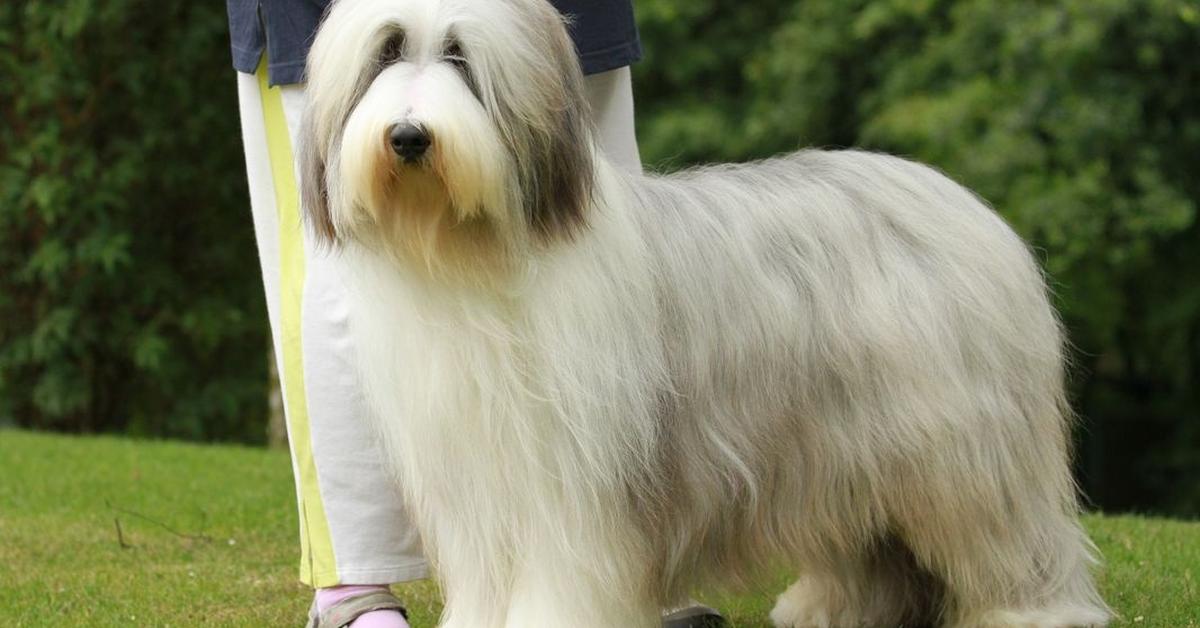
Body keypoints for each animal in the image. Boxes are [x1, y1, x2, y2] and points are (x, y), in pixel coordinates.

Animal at [300, 1, 1113, 624]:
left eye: (462, 58)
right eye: (385, 52)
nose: (409, 136)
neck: (471, 256)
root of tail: (965, 206)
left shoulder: (569, 488)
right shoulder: (477, 483)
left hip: (958, 447)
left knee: (1007, 535)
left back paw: (1035, 611)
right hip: (839, 442)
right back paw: (826, 607)